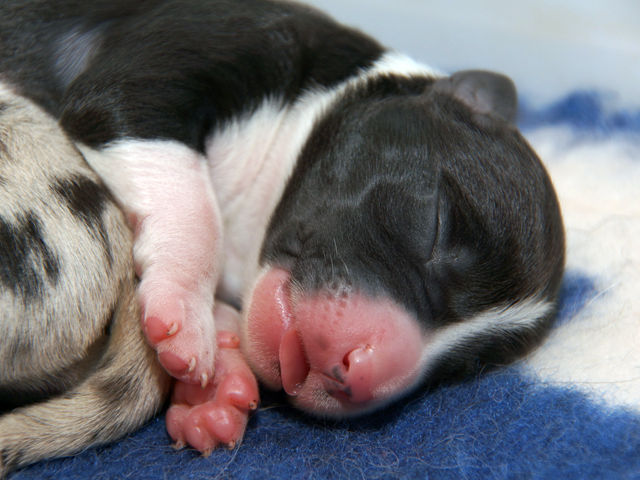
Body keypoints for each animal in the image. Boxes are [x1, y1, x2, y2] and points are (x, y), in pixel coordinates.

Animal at [0, 0, 565, 472]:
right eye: (438, 223)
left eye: (464, 368)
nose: (362, 376)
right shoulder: (151, 76)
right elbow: (195, 207)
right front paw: (186, 314)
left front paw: (215, 387)